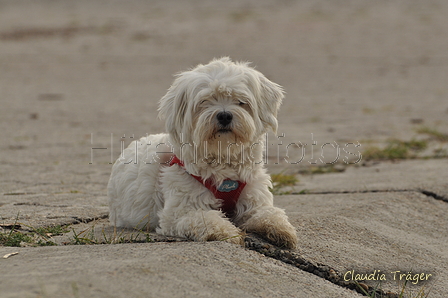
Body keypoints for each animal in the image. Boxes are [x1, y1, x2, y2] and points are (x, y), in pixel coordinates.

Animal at [107, 57, 298, 248]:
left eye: (241, 101)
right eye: (205, 101)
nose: (224, 115)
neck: (223, 161)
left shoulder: (254, 199)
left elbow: (268, 213)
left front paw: (281, 229)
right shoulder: (179, 212)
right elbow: (206, 219)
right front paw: (228, 232)